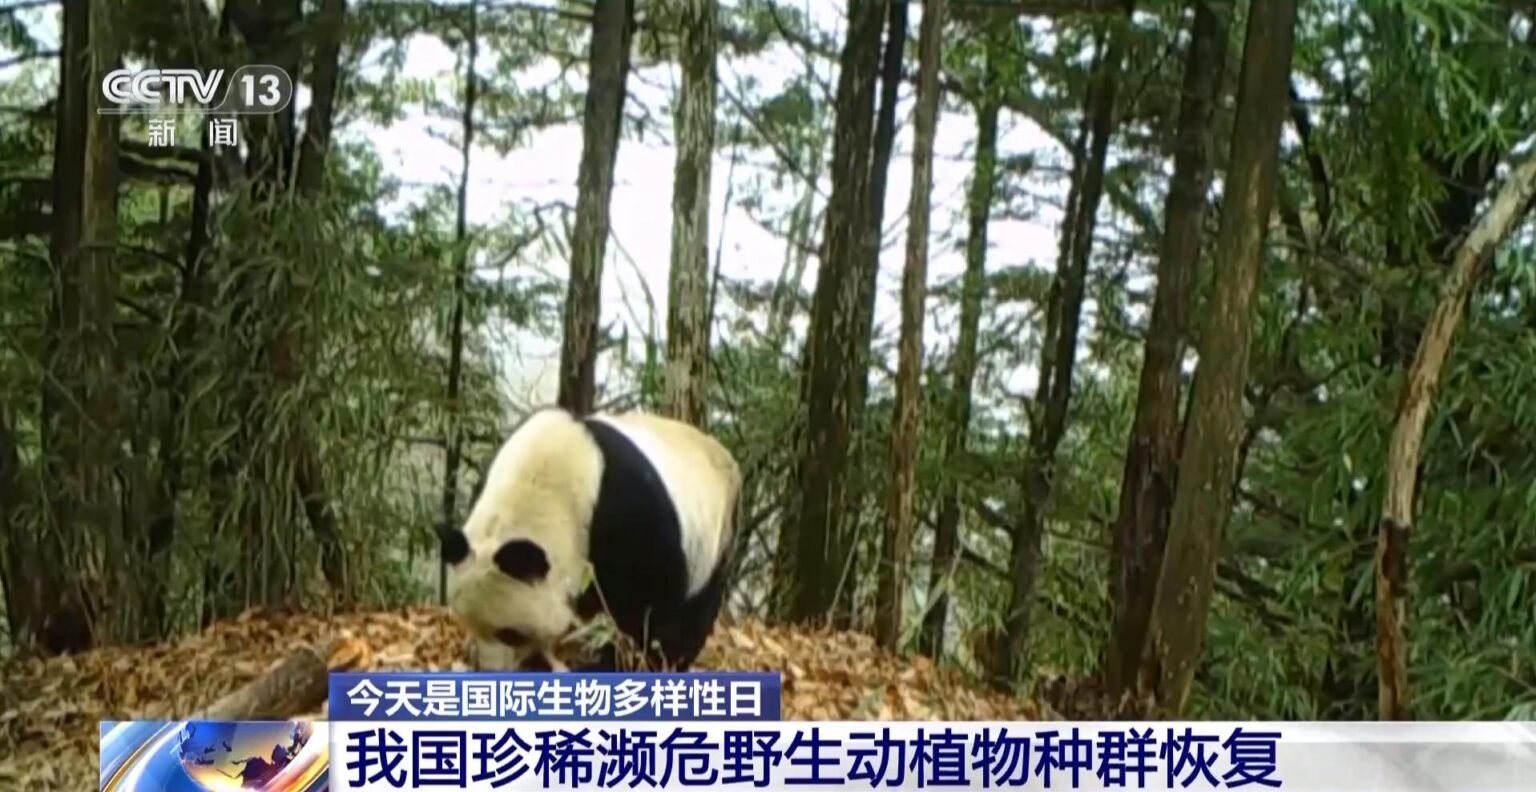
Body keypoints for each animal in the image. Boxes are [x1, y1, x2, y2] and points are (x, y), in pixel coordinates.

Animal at [437, 405, 741, 673]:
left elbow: (647, 604)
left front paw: (624, 661)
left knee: (697, 608)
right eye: (468, 623)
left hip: (718, 533)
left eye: (510, 634)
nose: (489, 669)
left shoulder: (628, 516)